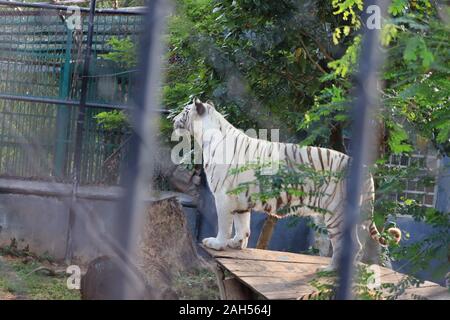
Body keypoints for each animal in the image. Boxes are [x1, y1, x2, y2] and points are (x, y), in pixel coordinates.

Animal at [172, 97, 400, 270]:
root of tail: (363, 169)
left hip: (337, 213)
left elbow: (225, 224)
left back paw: (329, 270)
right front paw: (236, 243)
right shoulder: (239, 197)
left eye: (185, 111)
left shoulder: (223, 196)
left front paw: (217, 243)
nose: (173, 119)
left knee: (347, 244)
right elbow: (242, 224)